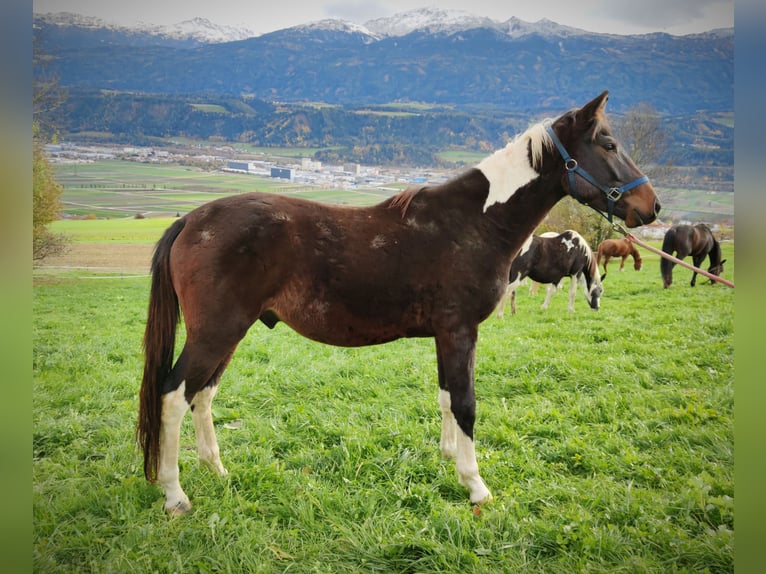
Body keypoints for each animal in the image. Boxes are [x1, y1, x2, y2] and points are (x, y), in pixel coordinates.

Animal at [137, 91, 660, 515]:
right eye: (608, 145)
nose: (652, 207)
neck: (474, 222)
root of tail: (190, 219)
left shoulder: (445, 335)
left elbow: (446, 396)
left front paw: (449, 459)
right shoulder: (460, 331)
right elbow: (466, 403)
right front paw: (475, 485)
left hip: (229, 334)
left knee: (202, 395)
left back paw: (217, 471)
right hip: (215, 332)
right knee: (173, 394)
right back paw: (174, 494)